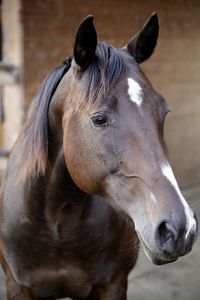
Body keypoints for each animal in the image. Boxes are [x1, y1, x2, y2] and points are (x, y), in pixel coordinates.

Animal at [0, 13, 198, 300]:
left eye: (164, 112)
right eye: (99, 119)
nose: (180, 228)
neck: (57, 220)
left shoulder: (113, 284)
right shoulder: (18, 287)